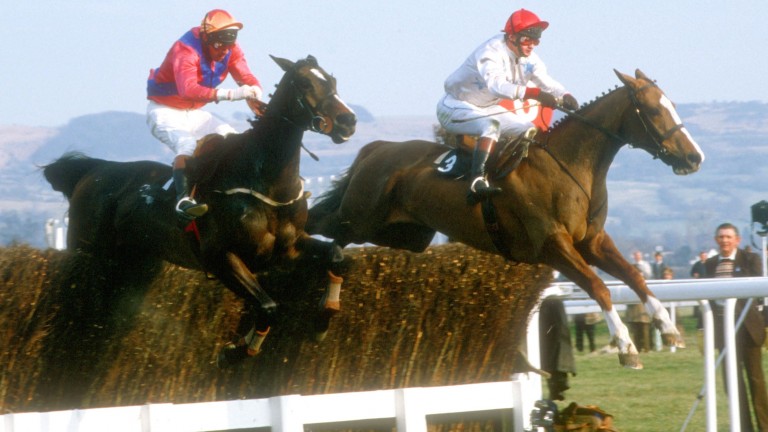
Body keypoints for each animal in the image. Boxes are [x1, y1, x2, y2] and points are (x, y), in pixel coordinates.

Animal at [46, 54, 358, 364]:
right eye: (305, 83)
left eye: (332, 81)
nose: (348, 121)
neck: (264, 184)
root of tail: (93, 170)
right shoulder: (221, 258)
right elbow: (268, 306)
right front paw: (236, 351)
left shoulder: (290, 247)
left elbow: (336, 257)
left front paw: (323, 320)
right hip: (86, 253)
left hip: (132, 261)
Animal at [308, 70, 704, 368]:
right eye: (653, 111)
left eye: (672, 105)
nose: (694, 157)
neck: (569, 167)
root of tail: (377, 149)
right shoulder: (552, 246)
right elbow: (599, 286)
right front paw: (626, 347)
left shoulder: (591, 241)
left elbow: (634, 275)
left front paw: (668, 328)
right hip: (359, 218)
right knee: (319, 224)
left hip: (403, 234)